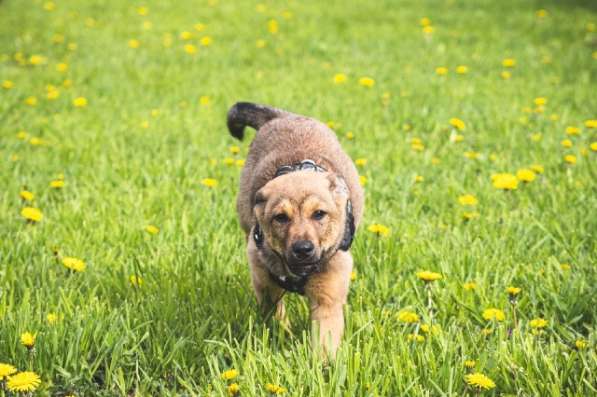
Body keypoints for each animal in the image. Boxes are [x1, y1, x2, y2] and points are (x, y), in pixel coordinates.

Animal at [227, 102, 364, 356]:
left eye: (319, 214)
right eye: (280, 218)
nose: (303, 249)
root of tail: (282, 116)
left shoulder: (328, 296)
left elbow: (325, 342)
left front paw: (323, 364)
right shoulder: (266, 285)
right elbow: (276, 318)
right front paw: (284, 339)